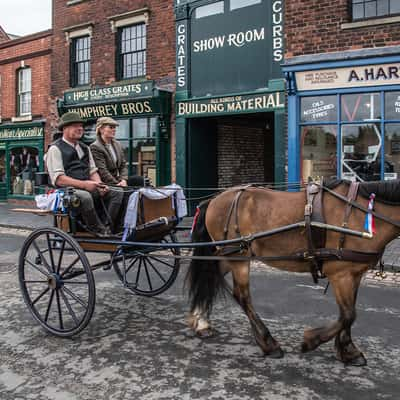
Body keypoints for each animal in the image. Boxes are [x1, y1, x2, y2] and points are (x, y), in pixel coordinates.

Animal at [186, 180, 400, 366]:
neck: (360, 212)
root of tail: (214, 200)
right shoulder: (340, 274)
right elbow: (348, 314)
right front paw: (311, 341)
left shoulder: (354, 273)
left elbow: (348, 314)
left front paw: (348, 350)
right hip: (239, 256)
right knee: (242, 296)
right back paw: (269, 343)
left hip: (230, 256)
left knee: (210, 275)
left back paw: (202, 323)